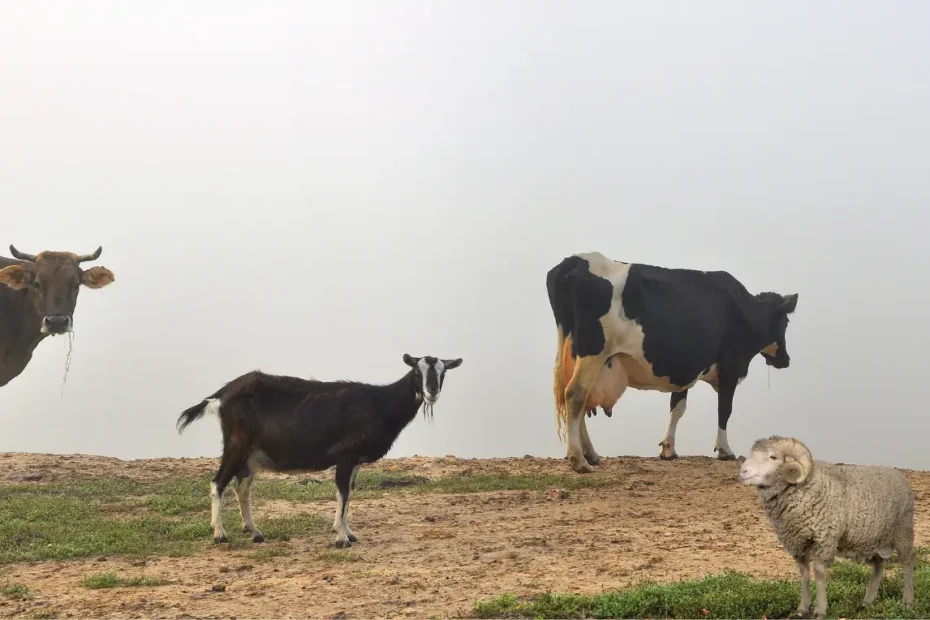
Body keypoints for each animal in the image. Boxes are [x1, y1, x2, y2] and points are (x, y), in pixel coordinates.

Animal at [174, 354, 460, 548]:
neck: (379, 404)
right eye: (417, 372)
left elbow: (349, 494)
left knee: (241, 489)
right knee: (218, 483)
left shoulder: (355, 461)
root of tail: (221, 395)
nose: (431, 392)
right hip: (236, 445)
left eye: (443, 372)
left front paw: (349, 532)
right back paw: (219, 534)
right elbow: (342, 493)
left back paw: (255, 532)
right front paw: (341, 538)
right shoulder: (345, 455)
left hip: (250, 456)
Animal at [544, 252, 796, 474]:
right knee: (575, 394)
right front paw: (725, 450)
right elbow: (724, 408)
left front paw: (668, 449)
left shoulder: (684, 369)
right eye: (785, 322)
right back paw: (579, 461)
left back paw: (591, 455)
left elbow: (677, 407)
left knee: (576, 398)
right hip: (594, 352)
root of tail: (574, 260)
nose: (785, 360)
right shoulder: (730, 364)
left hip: (574, 354)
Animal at [740, 434, 912, 616]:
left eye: (773, 457)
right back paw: (868, 602)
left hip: (903, 530)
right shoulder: (798, 542)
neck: (805, 488)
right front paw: (802, 609)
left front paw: (820, 610)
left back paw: (908, 602)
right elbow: (804, 573)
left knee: (908, 561)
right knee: (879, 564)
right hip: (873, 539)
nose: (742, 472)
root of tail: (898, 474)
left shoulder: (824, 538)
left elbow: (819, 572)